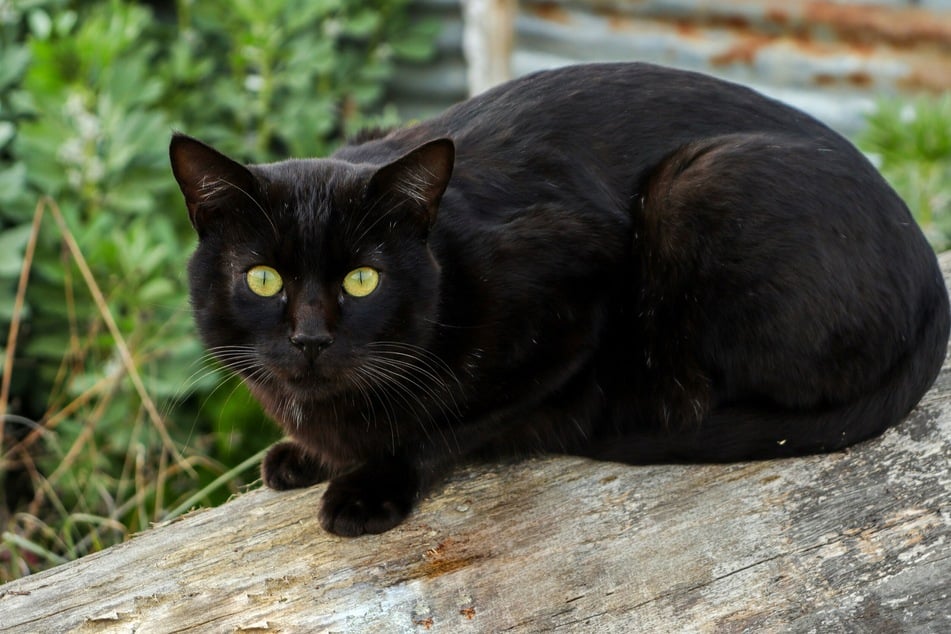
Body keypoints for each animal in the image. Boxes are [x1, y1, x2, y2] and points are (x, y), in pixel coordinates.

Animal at [171, 61, 951, 532]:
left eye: (363, 279)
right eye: (262, 278)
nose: (309, 338)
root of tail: (928, 275)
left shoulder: (573, 304)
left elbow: (446, 425)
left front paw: (367, 485)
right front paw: (301, 454)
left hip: (693, 186)